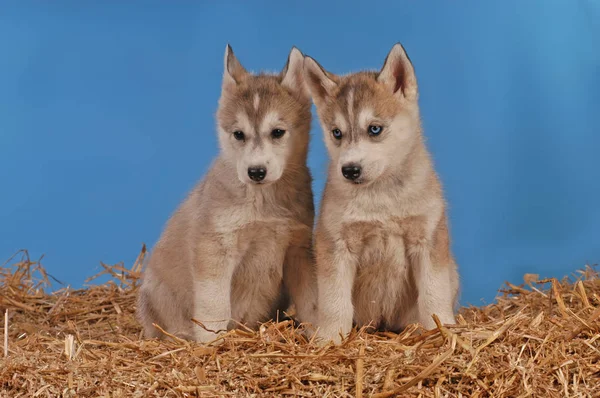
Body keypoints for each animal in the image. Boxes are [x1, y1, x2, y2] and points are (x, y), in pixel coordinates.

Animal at [138, 44, 318, 342]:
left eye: (278, 132)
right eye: (238, 134)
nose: (255, 172)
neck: (263, 201)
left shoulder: (298, 249)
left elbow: (312, 300)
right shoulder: (215, 248)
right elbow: (214, 304)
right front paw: (211, 340)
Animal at [304, 42, 460, 344]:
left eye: (374, 129)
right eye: (337, 133)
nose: (349, 170)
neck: (381, 199)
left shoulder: (428, 239)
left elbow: (434, 294)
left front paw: (442, 330)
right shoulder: (336, 244)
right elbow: (335, 301)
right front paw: (330, 339)